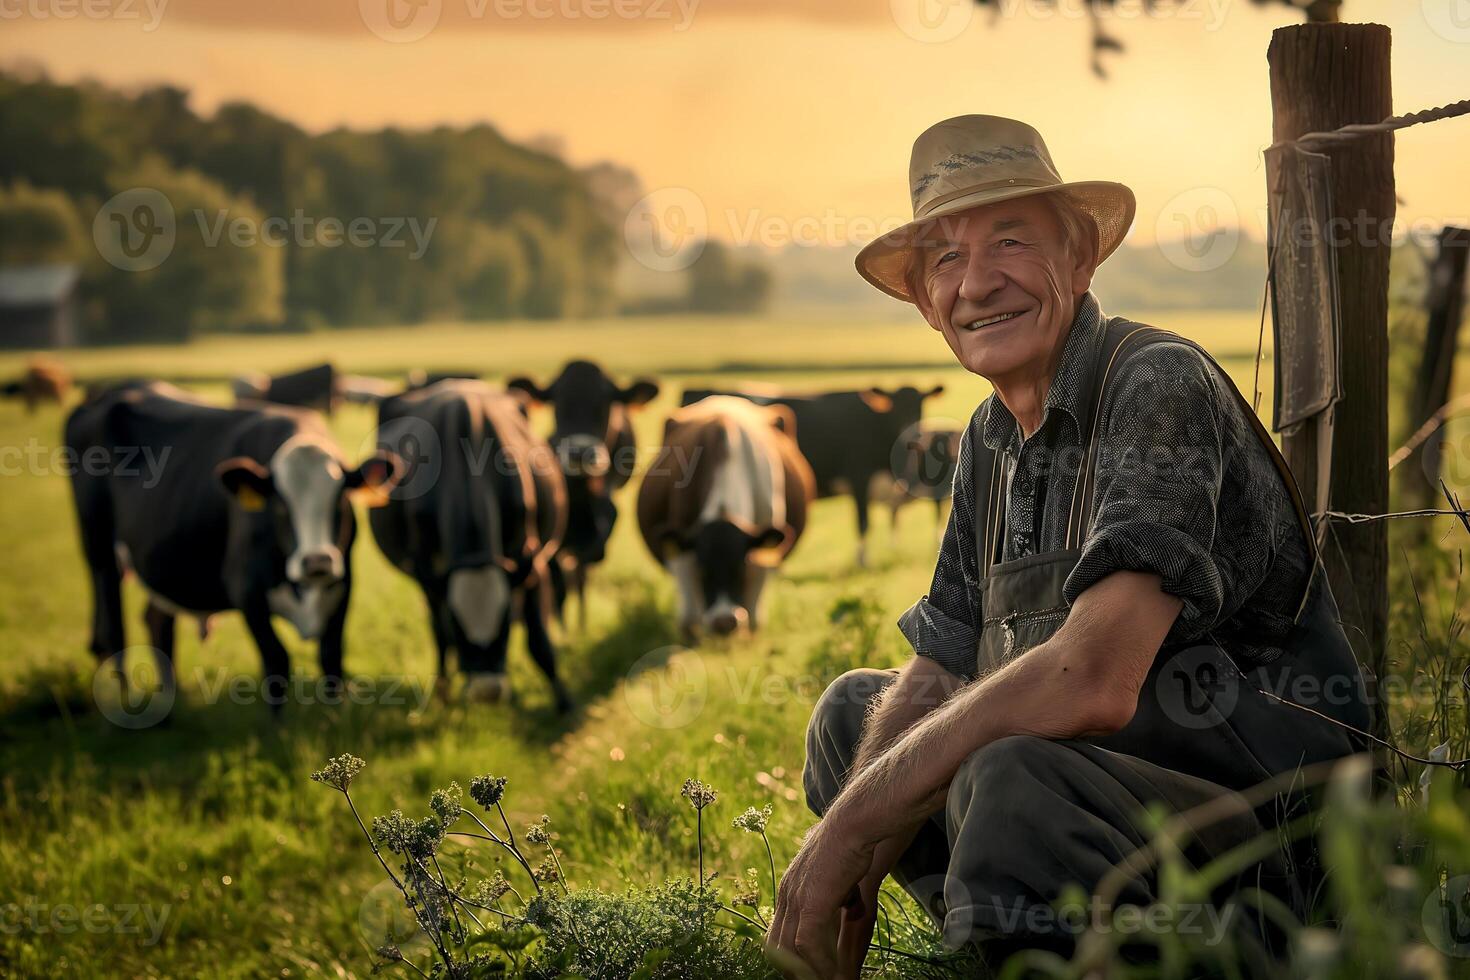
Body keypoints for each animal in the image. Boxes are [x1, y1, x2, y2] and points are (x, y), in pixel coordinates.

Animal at [66, 382, 399, 714]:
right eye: (280, 505)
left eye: (339, 501)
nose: (317, 561)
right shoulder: (246, 592)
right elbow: (276, 662)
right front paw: (277, 727)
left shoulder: (343, 585)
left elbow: (331, 659)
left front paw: (334, 716)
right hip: (97, 547)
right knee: (112, 624)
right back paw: (125, 699)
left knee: (156, 621)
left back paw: (171, 698)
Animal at [370, 379, 570, 708]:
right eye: (458, 624)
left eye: (505, 623)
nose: (486, 691)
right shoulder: (428, 573)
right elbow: (441, 635)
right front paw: (442, 692)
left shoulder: (530, 562)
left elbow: (539, 641)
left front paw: (566, 704)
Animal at [511, 362, 661, 628]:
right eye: (558, 403)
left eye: (605, 403)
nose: (580, 453)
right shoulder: (553, 546)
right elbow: (559, 584)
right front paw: (560, 627)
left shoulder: (597, 540)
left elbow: (580, 576)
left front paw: (580, 627)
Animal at [635, 393, 817, 640]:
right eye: (702, 569)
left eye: (740, 567)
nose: (724, 622)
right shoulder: (681, 545)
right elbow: (689, 615)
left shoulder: (764, 546)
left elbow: (755, 610)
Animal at [676, 384, 940, 567]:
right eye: (896, 409)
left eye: (920, 408)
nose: (913, 436)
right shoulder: (859, 478)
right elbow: (864, 523)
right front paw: (862, 562)